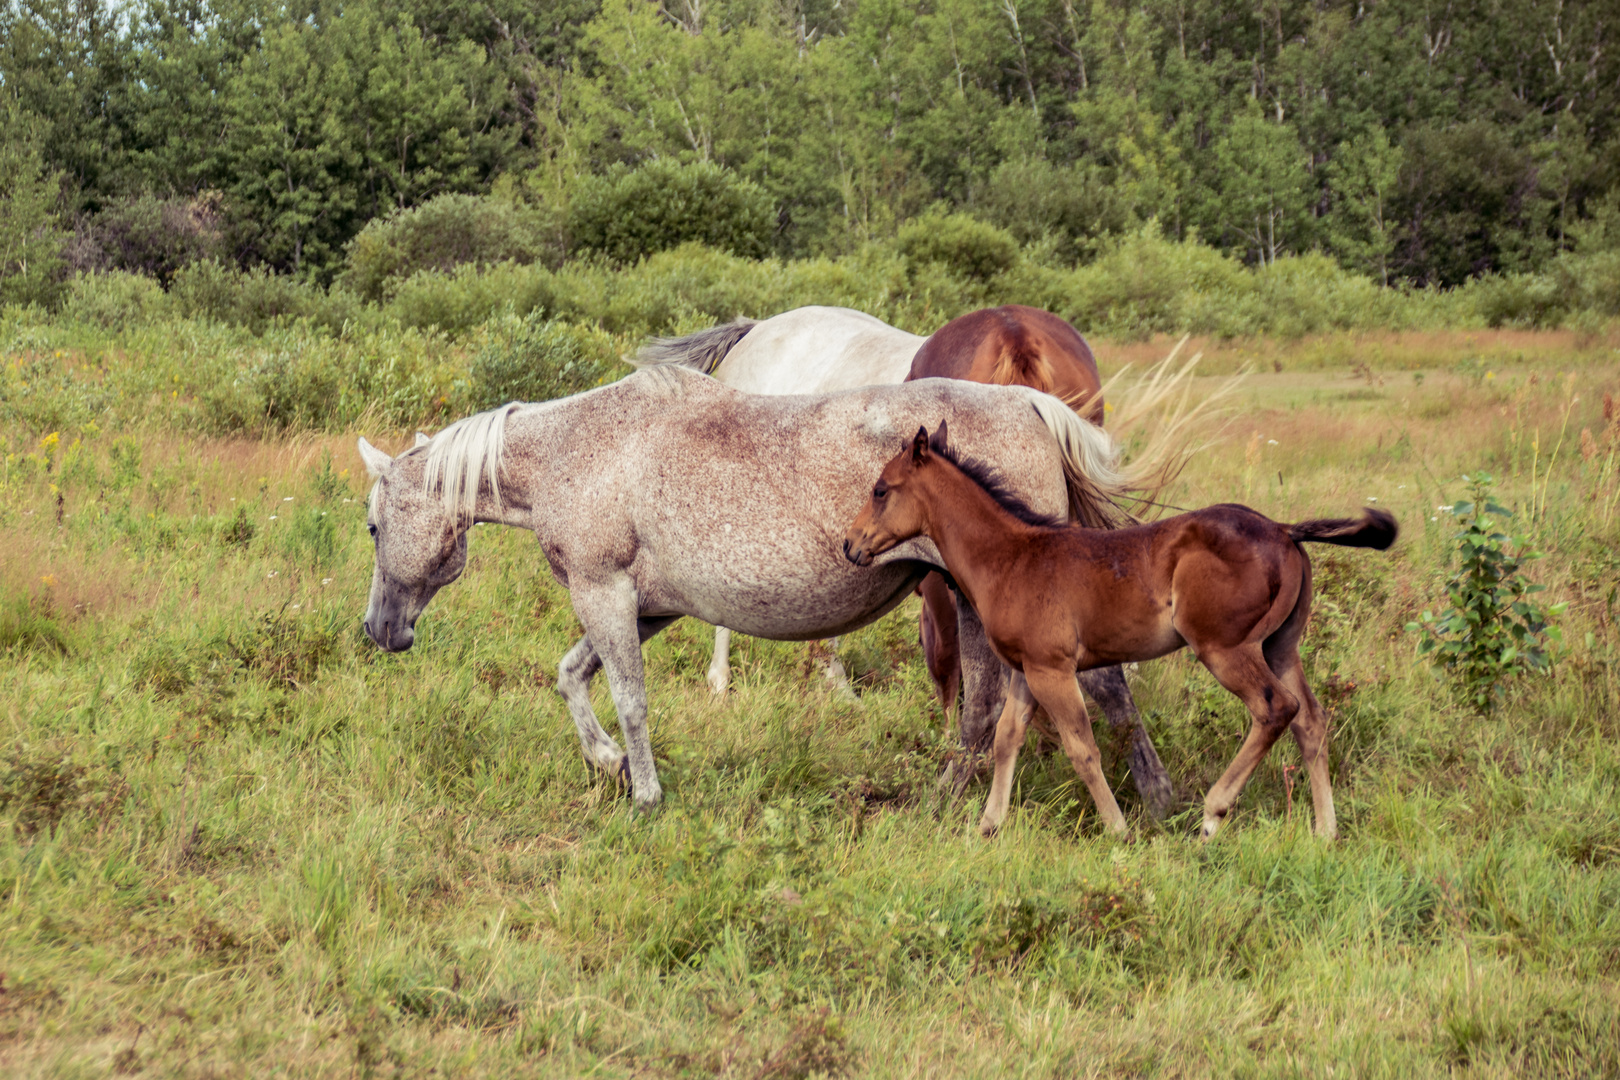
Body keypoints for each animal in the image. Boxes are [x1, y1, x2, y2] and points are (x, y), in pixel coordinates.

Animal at [361, 367, 1134, 816]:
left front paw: (643, 793)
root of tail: (1027, 403)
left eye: (371, 527)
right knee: (984, 708)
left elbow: (628, 699)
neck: (578, 451)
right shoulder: (648, 608)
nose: (378, 629)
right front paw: (608, 761)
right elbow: (572, 675)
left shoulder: (603, 593)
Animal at [842, 420, 1399, 841]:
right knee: (1311, 719)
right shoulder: (1026, 670)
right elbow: (1006, 739)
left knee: (1276, 708)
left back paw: (1212, 815)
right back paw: (1325, 831)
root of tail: (1283, 530)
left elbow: (1081, 747)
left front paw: (1117, 829)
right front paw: (986, 826)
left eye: (880, 489)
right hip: (1280, 645)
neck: (1010, 557)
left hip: (1224, 647)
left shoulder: (1052, 670)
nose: (850, 544)